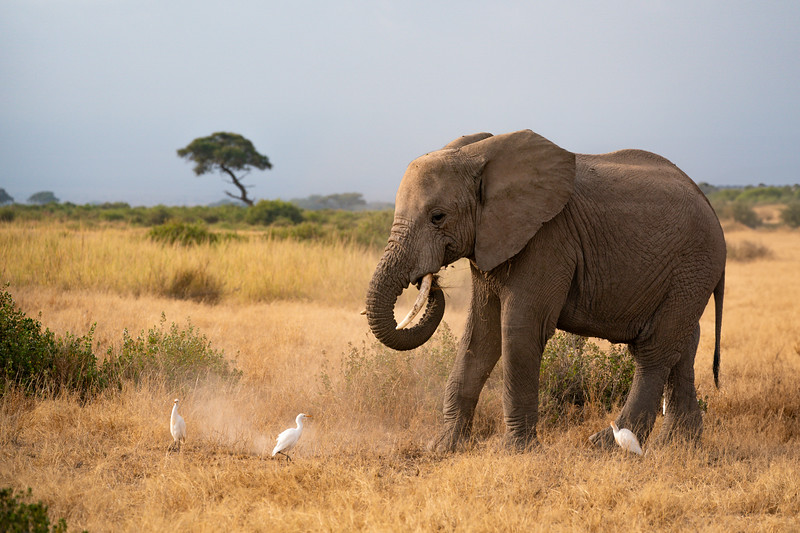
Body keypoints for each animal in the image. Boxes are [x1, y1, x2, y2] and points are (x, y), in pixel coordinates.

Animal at [364, 129, 726, 452]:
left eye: (438, 217)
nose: (431, 283)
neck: (479, 156)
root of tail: (709, 204)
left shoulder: (547, 240)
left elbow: (519, 331)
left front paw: (514, 452)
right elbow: (480, 335)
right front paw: (442, 448)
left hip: (692, 265)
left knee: (654, 351)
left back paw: (605, 445)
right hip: (688, 276)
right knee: (683, 344)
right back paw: (679, 447)